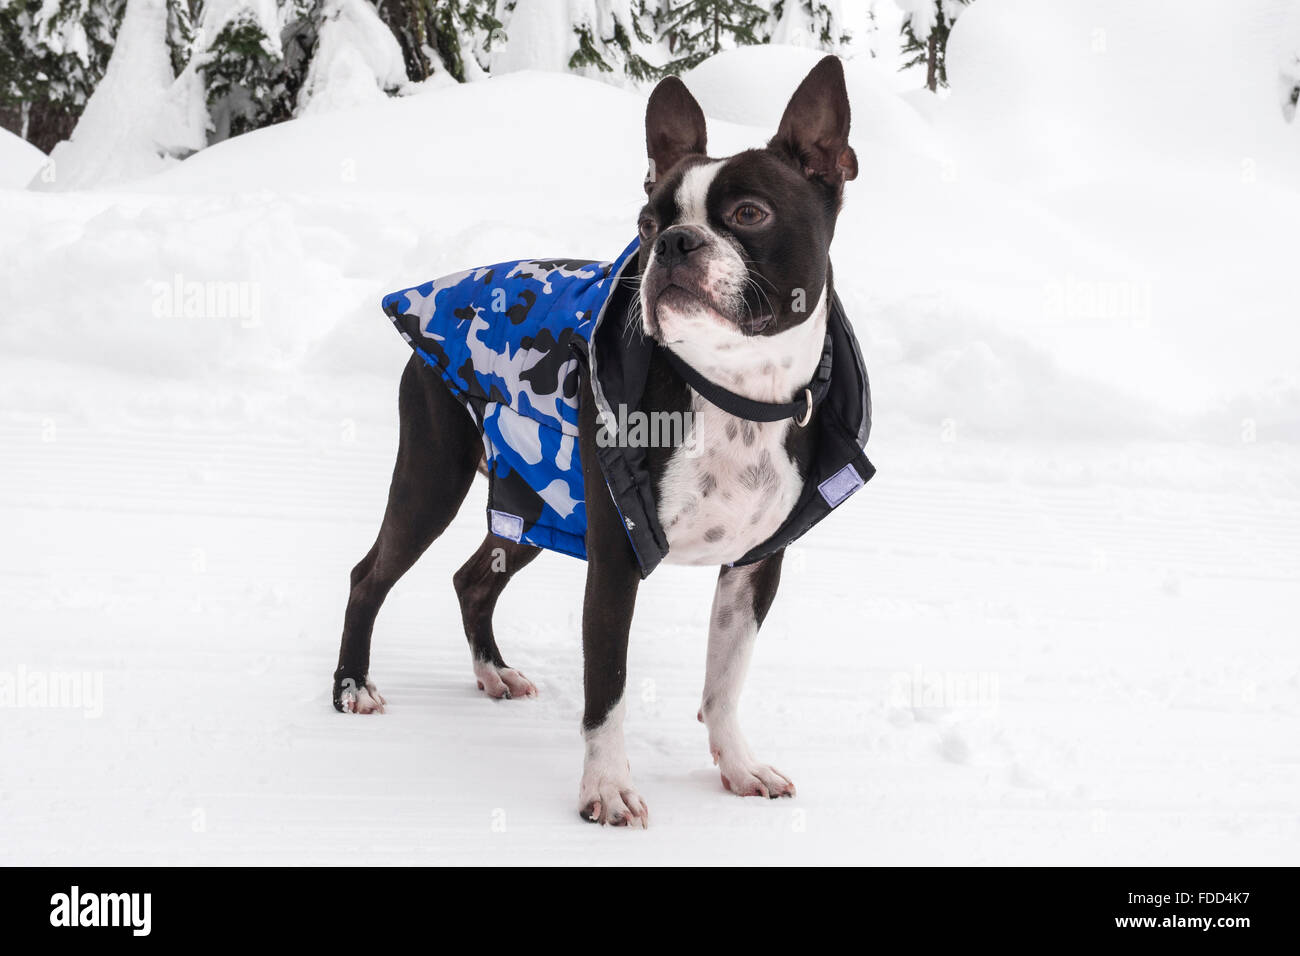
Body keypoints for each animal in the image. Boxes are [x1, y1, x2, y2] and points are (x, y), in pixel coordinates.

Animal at [332, 55, 863, 827]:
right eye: (644, 223)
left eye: (749, 214)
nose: (672, 243)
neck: (729, 392)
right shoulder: (615, 556)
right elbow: (607, 686)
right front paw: (606, 790)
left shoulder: (754, 568)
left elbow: (725, 678)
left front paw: (739, 767)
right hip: (436, 477)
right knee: (369, 574)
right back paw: (351, 686)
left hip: (535, 501)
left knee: (472, 579)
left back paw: (493, 672)